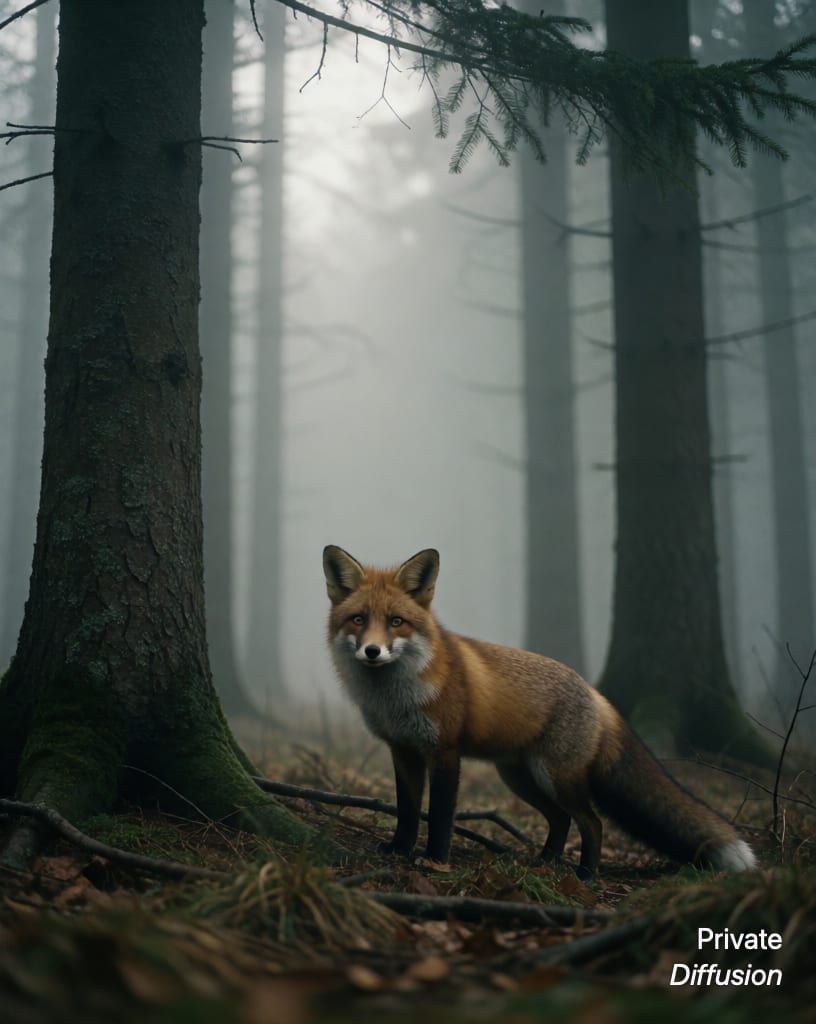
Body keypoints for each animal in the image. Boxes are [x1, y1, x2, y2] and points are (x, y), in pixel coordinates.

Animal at [323, 545, 757, 877]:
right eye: (358, 619)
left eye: (396, 621)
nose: (372, 651)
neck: (397, 696)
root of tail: (595, 692)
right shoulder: (403, 751)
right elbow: (408, 811)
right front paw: (399, 849)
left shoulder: (444, 752)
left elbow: (441, 816)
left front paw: (435, 860)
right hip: (521, 778)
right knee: (560, 819)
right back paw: (545, 861)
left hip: (555, 776)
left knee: (592, 822)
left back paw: (585, 875)